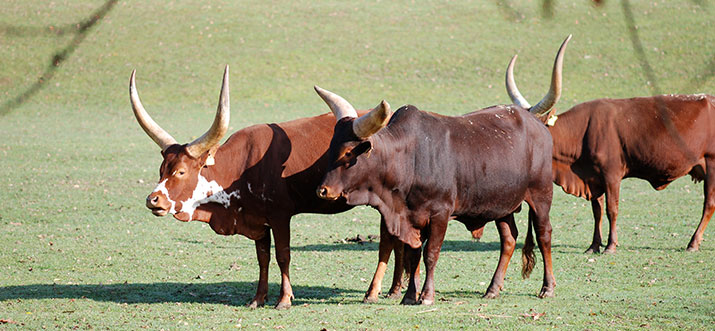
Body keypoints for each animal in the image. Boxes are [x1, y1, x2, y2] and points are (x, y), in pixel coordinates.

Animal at [129, 66, 414, 310]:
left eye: (181, 171)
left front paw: (284, 299)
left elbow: (283, 256)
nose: (153, 200)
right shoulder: (257, 219)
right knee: (396, 239)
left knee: (387, 241)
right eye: (161, 169)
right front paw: (258, 298)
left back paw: (374, 292)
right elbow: (263, 257)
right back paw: (394, 289)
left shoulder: (280, 216)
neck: (242, 166)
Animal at [316, 37, 572, 306]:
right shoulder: (412, 217)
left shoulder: (440, 213)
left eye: (348, 153)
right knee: (509, 239)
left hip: (540, 195)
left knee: (544, 234)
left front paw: (426, 295)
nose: (323, 190)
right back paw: (492, 288)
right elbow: (414, 255)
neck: (409, 159)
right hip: (503, 204)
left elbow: (431, 253)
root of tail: (536, 123)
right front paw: (409, 296)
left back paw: (548, 287)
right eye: (331, 147)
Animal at [506, 55, 715, 252]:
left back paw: (693, 243)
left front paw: (611, 245)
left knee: (709, 204)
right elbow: (597, 210)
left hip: (711, 165)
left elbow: (611, 209)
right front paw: (594, 245)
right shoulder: (593, 177)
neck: (583, 132)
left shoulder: (612, 174)